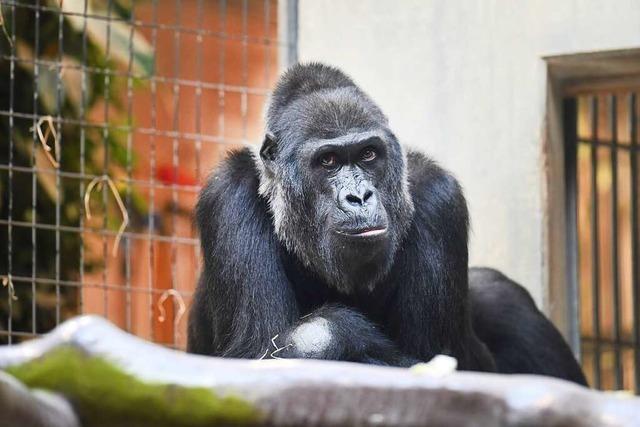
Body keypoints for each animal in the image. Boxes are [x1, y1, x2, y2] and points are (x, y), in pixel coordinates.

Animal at [188, 64, 588, 388]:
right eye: (328, 161)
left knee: (499, 294)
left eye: (368, 154)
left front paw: (325, 336)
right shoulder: (228, 193)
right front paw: (329, 334)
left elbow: (438, 366)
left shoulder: (439, 198)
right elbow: (253, 356)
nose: (359, 197)